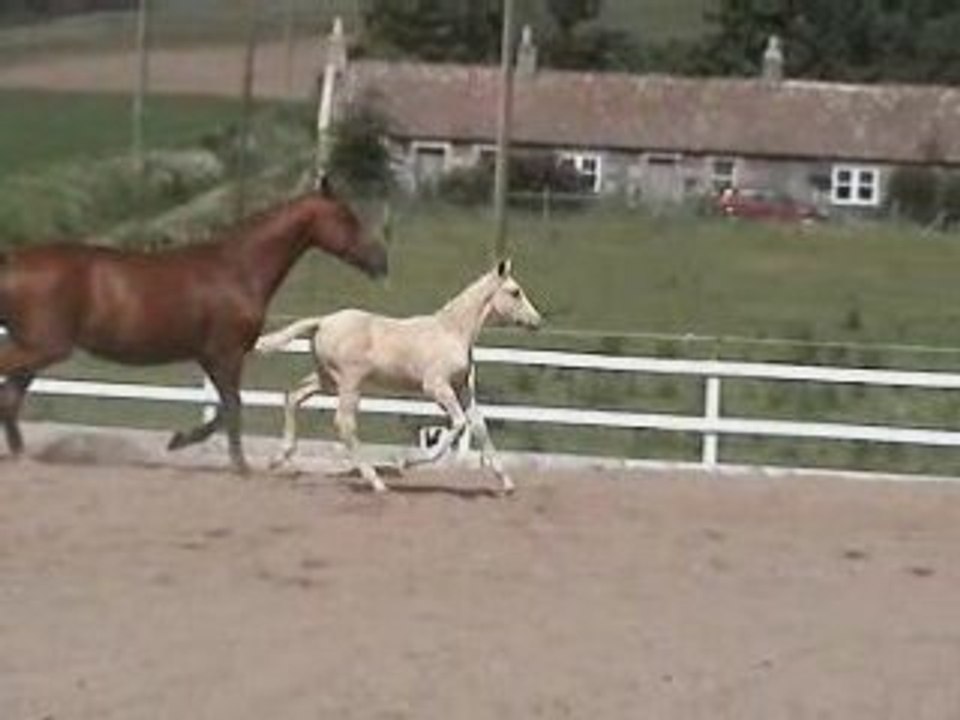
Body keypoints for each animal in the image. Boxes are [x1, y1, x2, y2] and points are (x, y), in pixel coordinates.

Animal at [0, 177, 388, 474]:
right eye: (347, 217)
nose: (380, 262)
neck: (239, 269)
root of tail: (12, 261)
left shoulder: (210, 356)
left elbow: (224, 408)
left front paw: (181, 442)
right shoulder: (226, 354)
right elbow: (232, 406)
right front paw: (236, 464)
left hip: (36, 351)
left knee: (10, 398)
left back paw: (22, 457)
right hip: (42, 348)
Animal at [255, 259, 542, 494]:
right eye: (515, 292)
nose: (537, 321)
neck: (452, 332)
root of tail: (323, 321)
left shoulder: (461, 388)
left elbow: (480, 426)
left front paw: (507, 483)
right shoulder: (436, 386)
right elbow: (459, 423)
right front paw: (405, 461)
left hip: (327, 380)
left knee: (293, 396)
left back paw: (278, 458)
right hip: (350, 383)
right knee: (344, 423)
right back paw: (376, 482)